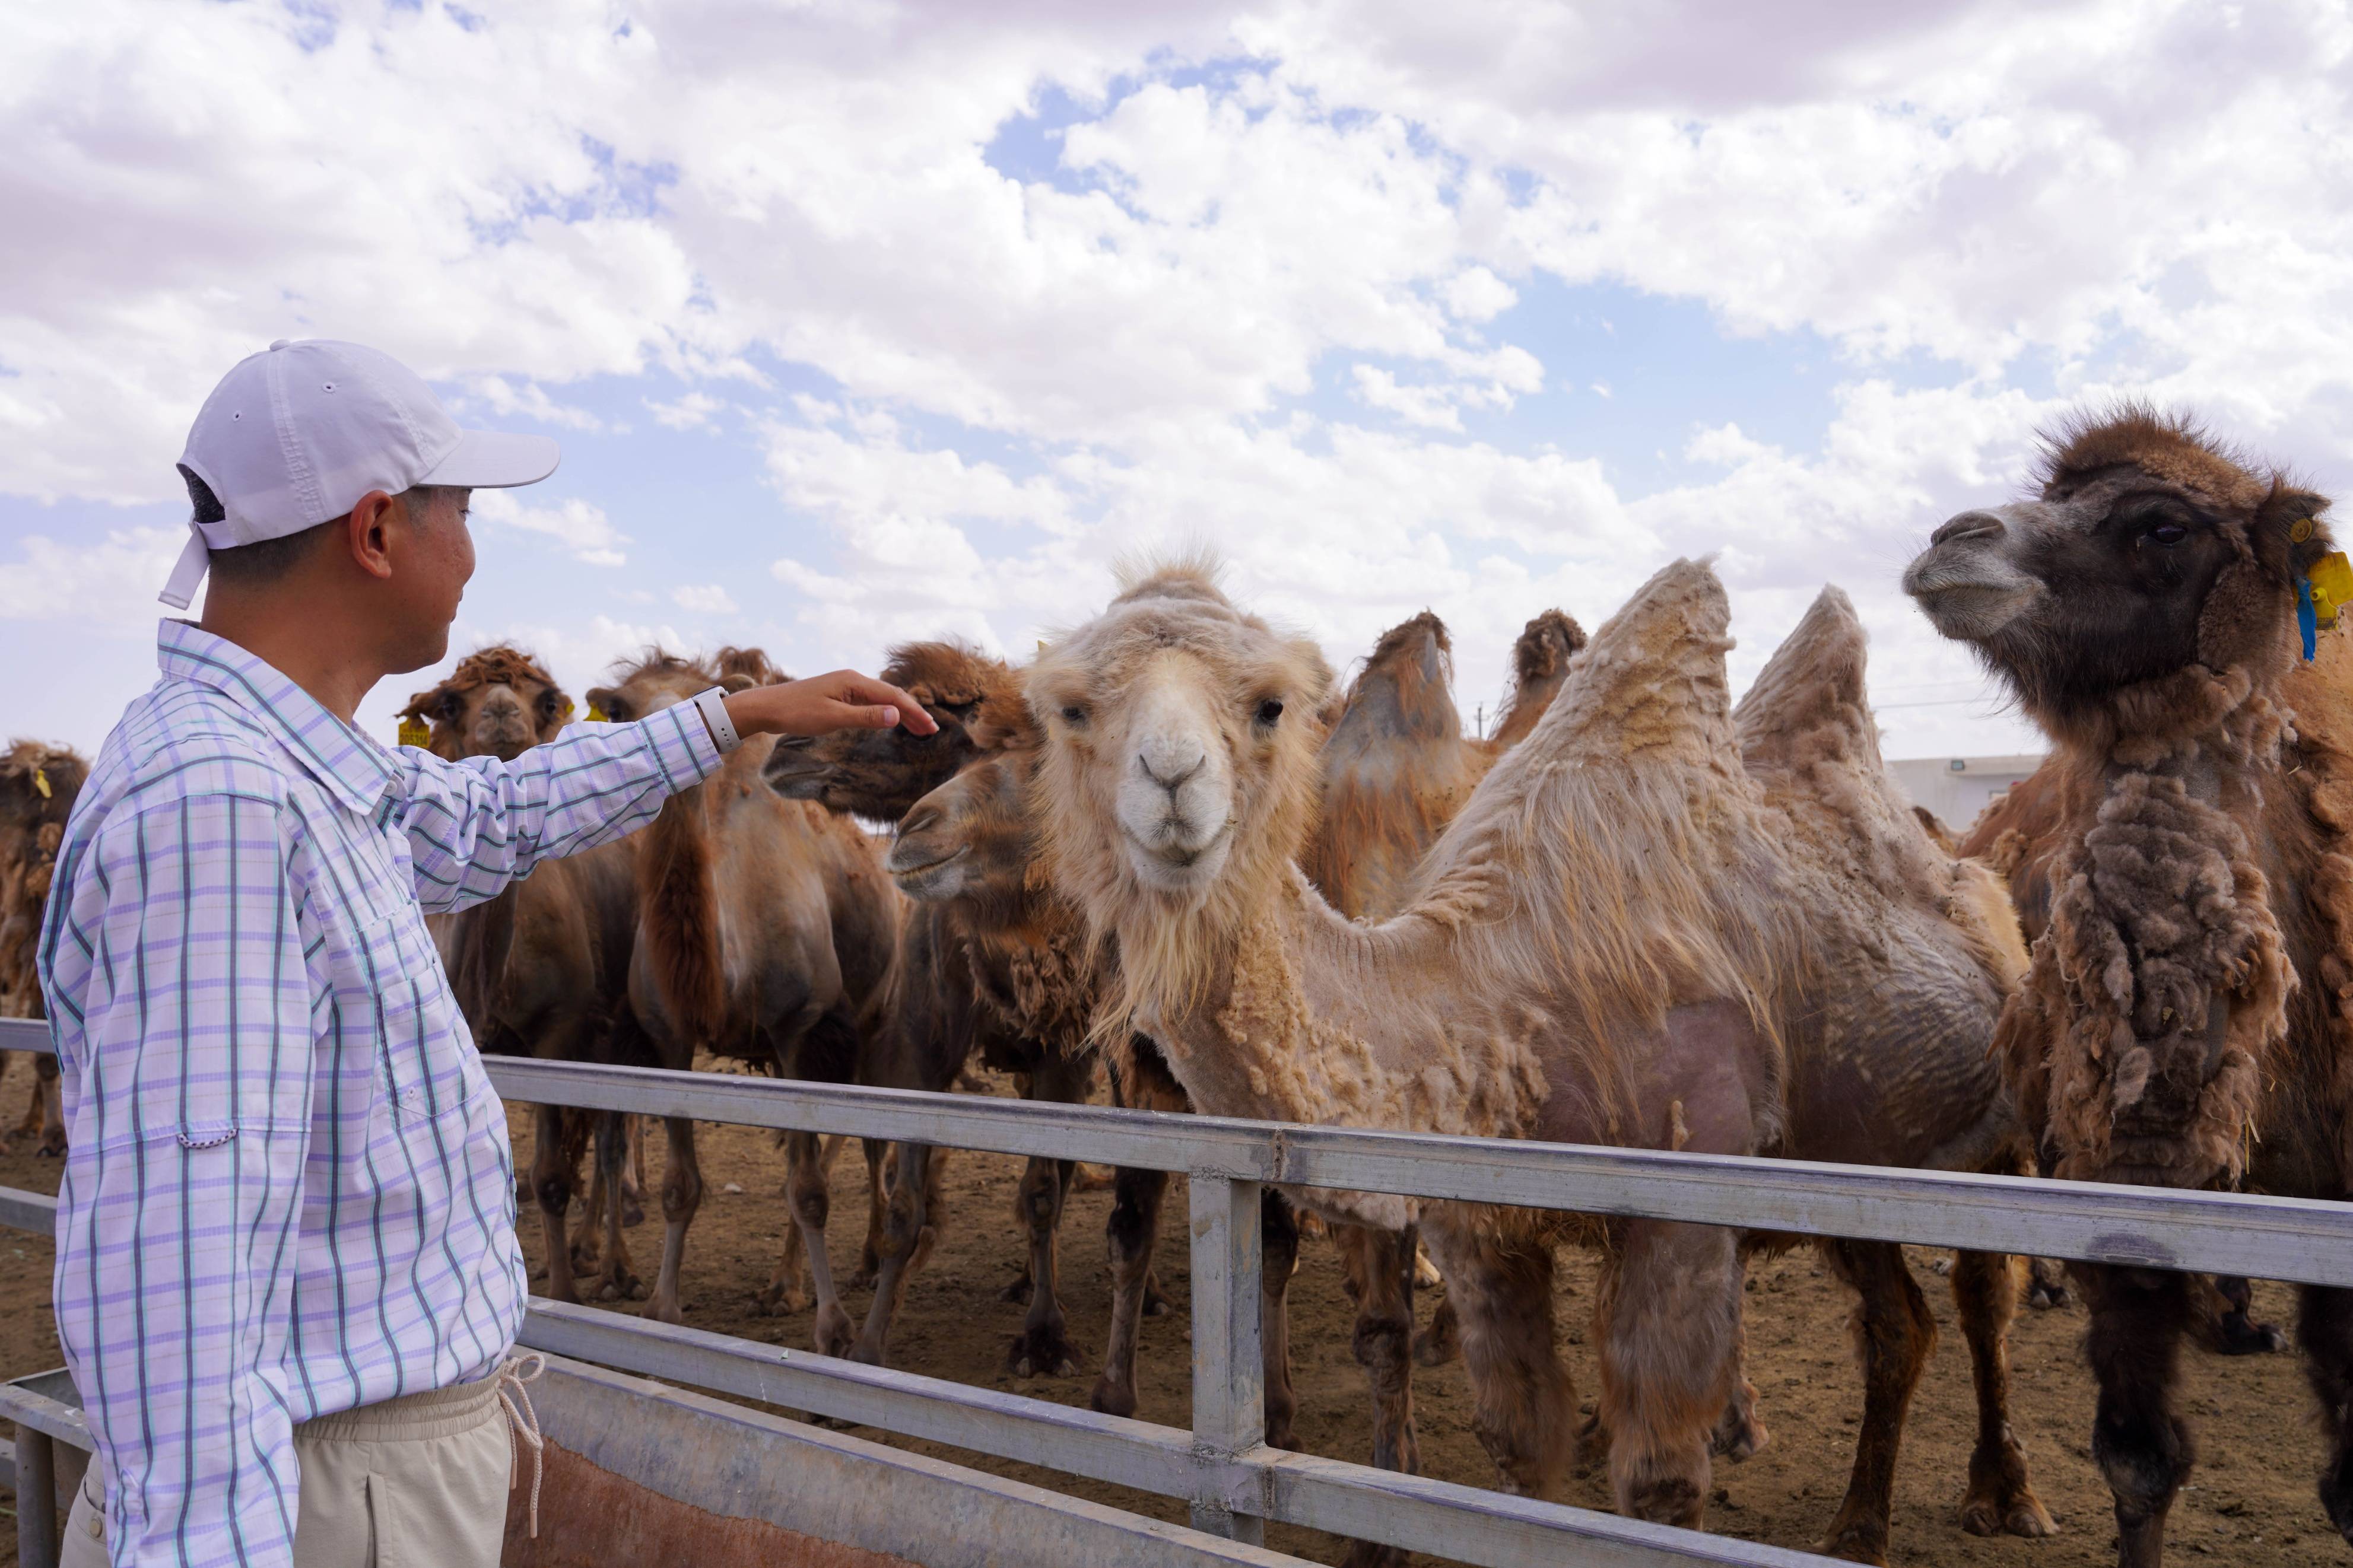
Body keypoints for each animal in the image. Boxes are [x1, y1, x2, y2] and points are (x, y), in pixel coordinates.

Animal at [398, 644, 649, 1307]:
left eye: (546, 699)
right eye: (449, 702)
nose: (502, 714)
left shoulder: (560, 1031)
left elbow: (552, 1175)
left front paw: (563, 1290)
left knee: (611, 1134)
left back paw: (615, 1264)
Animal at [579, 653, 898, 1335]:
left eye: (706, 696)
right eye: (617, 708)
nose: (663, 732)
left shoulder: (801, 1027)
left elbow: (808, 1190)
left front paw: (833, 1326)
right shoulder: (668, 1037)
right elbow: (680, 1185)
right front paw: (662, 1306)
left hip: (872, 1019)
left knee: (863, 1141)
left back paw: (846, 1267)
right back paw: (786, 1282)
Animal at [1021, 562, 2052, 1561]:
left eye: (1270, 703)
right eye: (1069, 708)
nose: (1174, 779)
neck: (1492, 985)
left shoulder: (1687, 1201)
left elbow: (1661, 1485)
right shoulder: (1478, 1224)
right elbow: (1518, 1452)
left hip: (1997, 1129)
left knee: (1981, 1297)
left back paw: (2004, 1495)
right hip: (1850, 1156)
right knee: (1897, 1324)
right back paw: (1858, 1524)